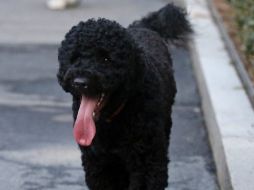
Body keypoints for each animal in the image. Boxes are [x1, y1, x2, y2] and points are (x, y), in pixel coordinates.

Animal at [57, 3, 191, 190]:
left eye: (106, 59)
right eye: (74, 57)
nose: (79, 82)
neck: (112, 121)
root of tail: (143, 27)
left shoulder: (146, 164)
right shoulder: (99, 164)